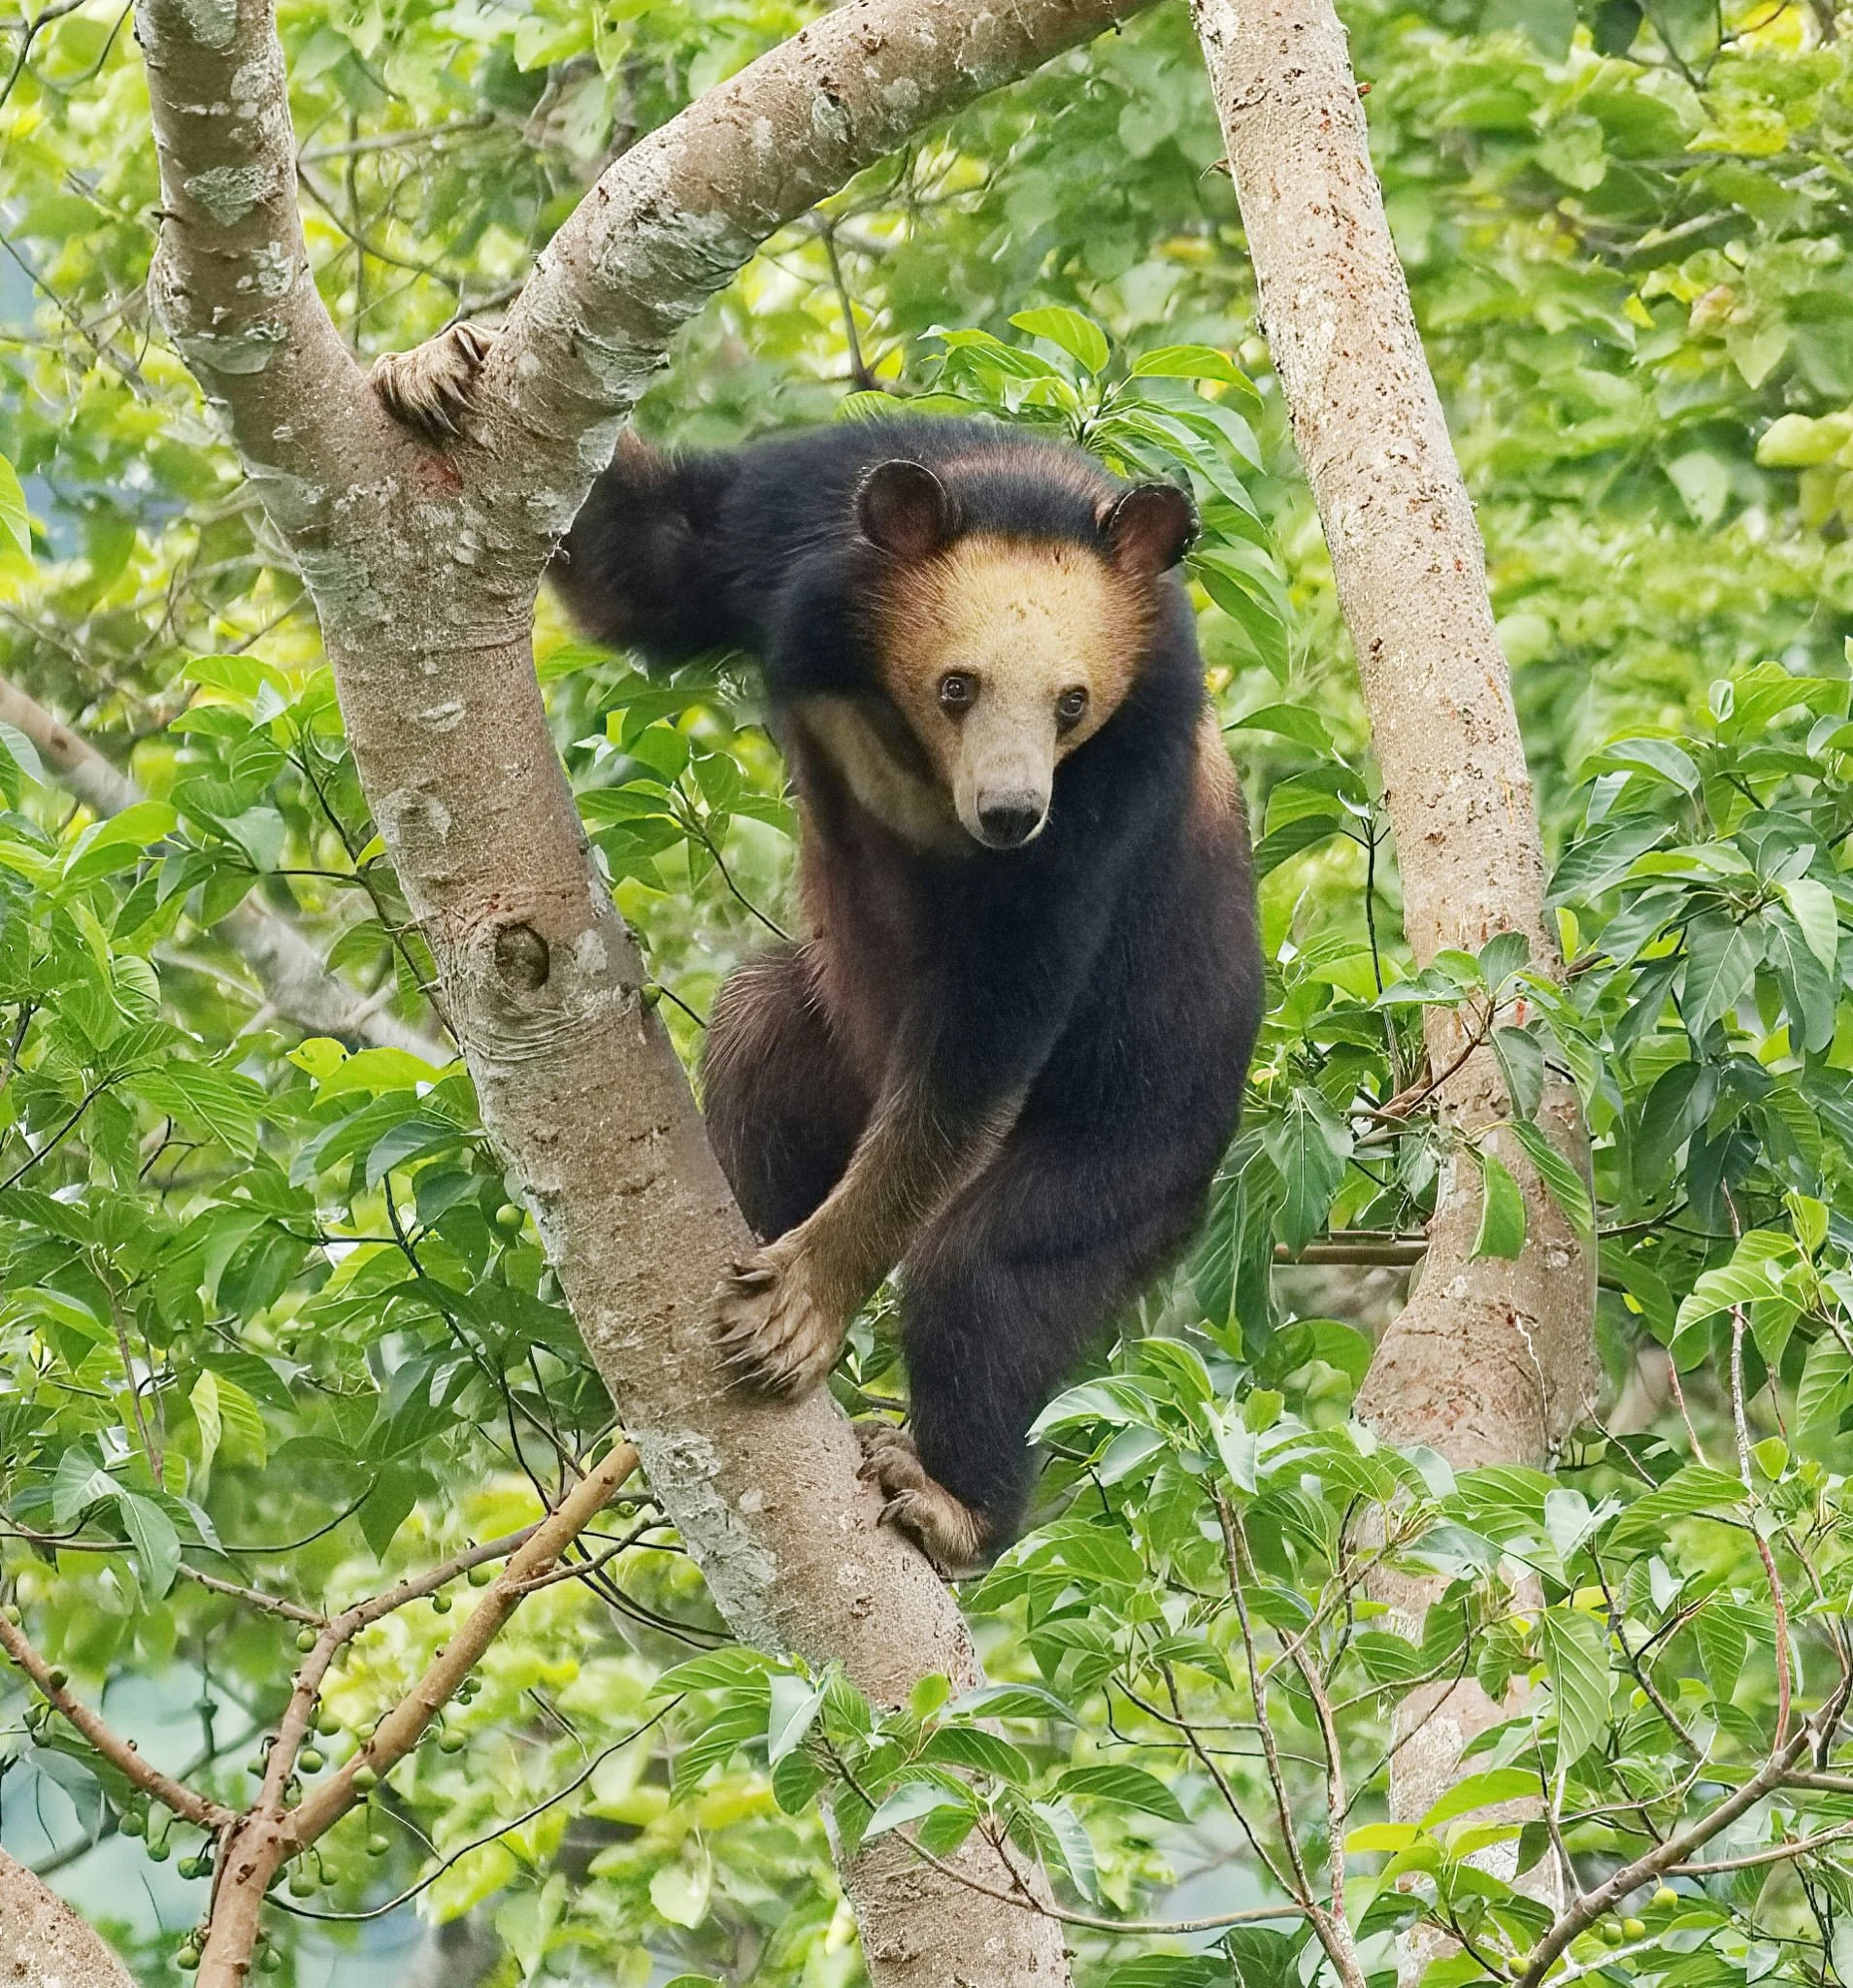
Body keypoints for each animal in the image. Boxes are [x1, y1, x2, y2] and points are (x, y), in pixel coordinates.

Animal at [370, 341, 1265, 1570]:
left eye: (1072, 701)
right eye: (958, 684)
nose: (1007, 813)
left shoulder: (1116, 790)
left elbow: (993, 1020)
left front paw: (800, 1301)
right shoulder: (785, 523)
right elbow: (642, 557)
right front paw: (434, 372)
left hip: (1138, 1132)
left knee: (990, 1273)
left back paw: (949, 1499)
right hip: (825, 1035)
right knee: (753, 1035)